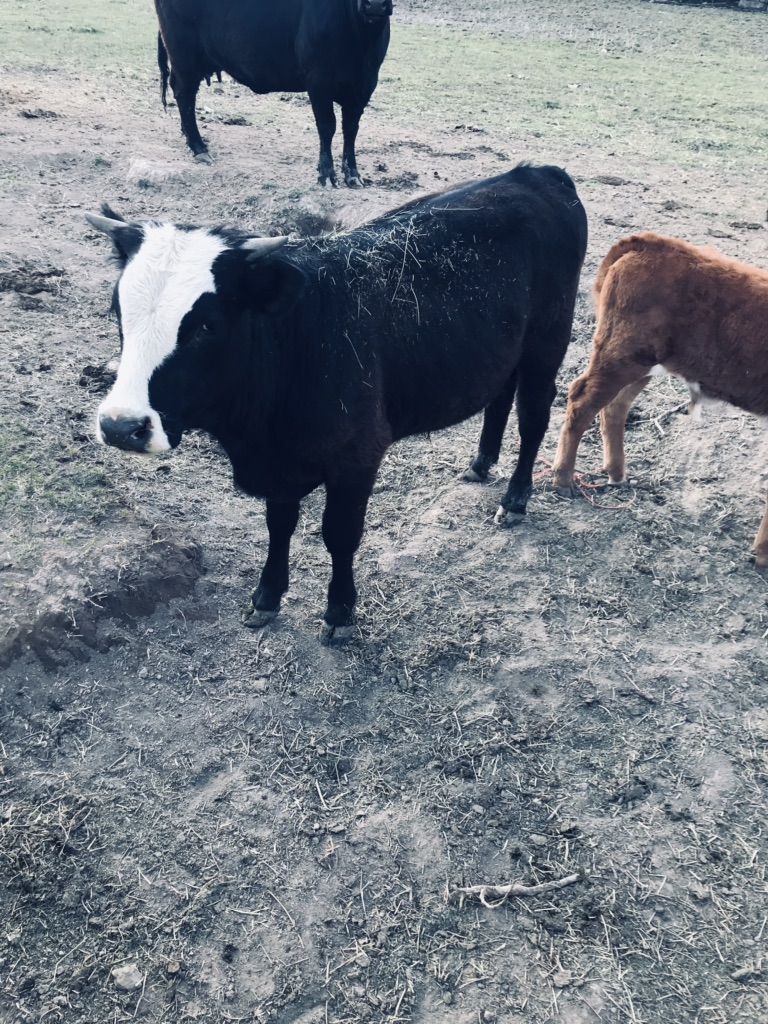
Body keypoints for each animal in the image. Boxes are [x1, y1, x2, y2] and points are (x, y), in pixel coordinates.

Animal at [86, 164, 588, 641]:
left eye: (206, 326)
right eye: (117, 312)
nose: (120, 426)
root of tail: (536, 173)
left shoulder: (358, 457)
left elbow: (340, 535)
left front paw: (341, 611)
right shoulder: (280, 465)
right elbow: (279, 524)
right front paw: (267, 596)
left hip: (546, 344)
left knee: (533, 418)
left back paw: (516, 500)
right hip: (505, 349)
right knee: (499, 397)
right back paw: (481, 463)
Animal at [155, 0, 391, 187]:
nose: (375, 5)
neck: (359, 43)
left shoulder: (365, 85)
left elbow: (350, 129)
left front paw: (353, 175)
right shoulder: (318, 81)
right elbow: (327, 127)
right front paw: (326, 175)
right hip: (183, 54)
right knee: (184, 94)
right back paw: (198, 147)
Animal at [552, 232, 768, 567]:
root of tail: (649, 242)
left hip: (642, 365)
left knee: (614, 407)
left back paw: (616, 474)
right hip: (621, 356)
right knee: (581, 400)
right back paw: (563, 480)